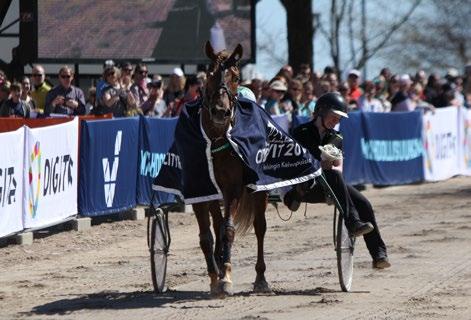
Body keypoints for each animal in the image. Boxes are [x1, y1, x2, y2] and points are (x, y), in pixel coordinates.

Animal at [192, 40, 272, 298]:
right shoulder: (199, 191)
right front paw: (214, 277)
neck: (216, 142)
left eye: (236, 77)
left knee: (260, 227)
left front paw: (226, 276)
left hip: (259, 190)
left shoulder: (233, 187)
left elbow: (228, 229)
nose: (220, 111)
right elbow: (206, 236)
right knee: (216, 224)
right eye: (210, 74)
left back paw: (260, 278)